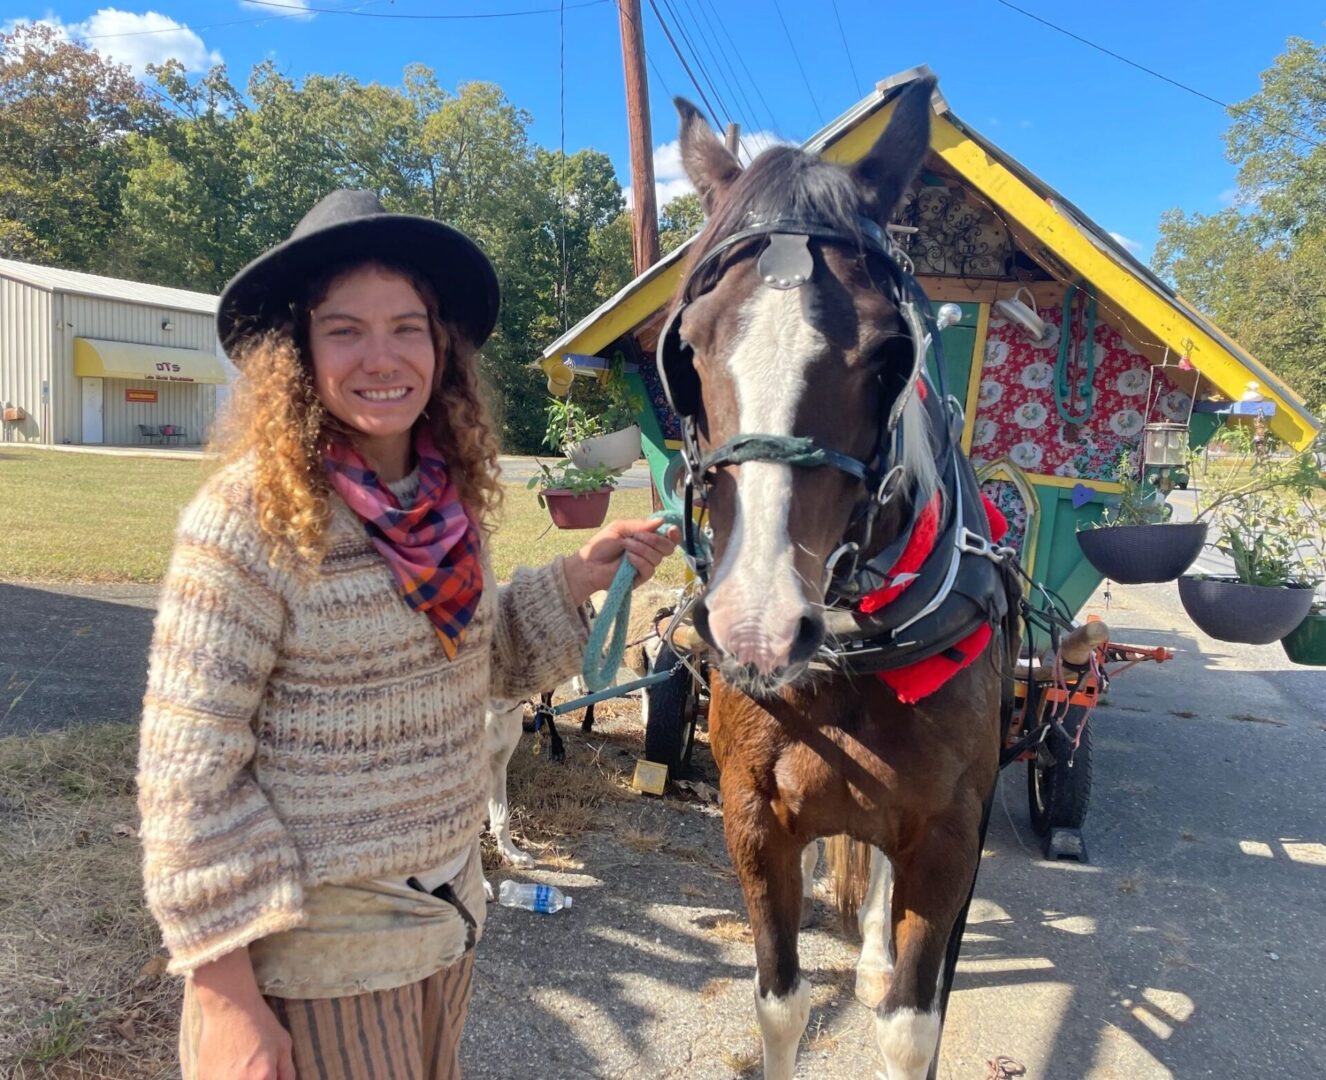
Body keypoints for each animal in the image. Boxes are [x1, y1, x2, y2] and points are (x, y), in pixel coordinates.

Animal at [660, 78, 1013, 1080]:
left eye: (894, 354)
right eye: (687, 350)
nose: (758, 626)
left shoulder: (950, 836)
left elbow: (909, 1025)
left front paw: (885, 976)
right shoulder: (752, 820)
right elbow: (778, 1005)